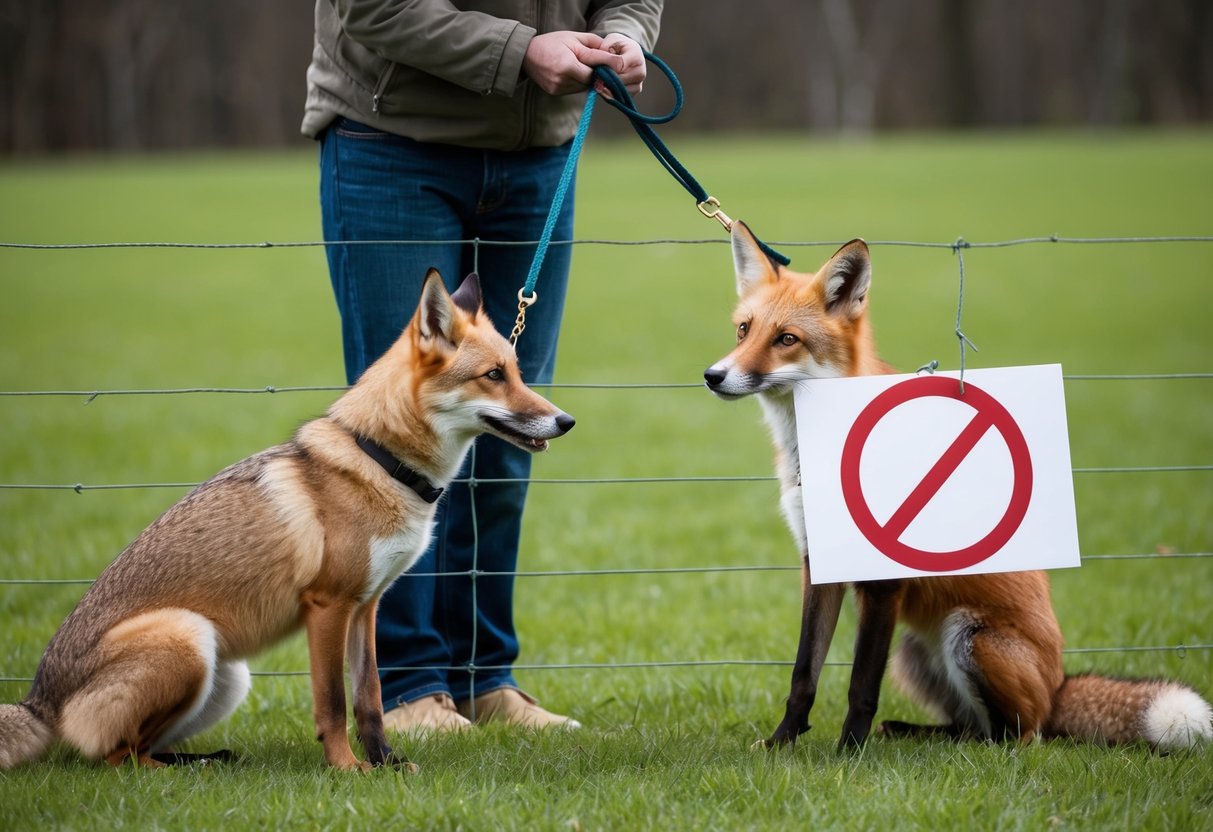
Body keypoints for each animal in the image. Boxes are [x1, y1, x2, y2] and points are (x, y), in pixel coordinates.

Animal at [0, 271, 574, 771]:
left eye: (518, 371)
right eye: (493, 376)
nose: (566, 421)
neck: (381, 460)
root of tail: (39, 700)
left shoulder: (366, 608)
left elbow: (370, 700)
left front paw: (388, 766)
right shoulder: (327, 607)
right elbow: (333, 705)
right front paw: (347, 770)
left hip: (226, 677)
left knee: (141, 747)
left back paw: (208, 761)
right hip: (189, 640)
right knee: (119, 757)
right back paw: (190, 772)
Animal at [704, 221, 1212, 752]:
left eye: (787, 339)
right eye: (744, 329)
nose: (713, 376)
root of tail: (1057, 687)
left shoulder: (885, 581)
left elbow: (861, 685)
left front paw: (848, 755)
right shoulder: (818, 565)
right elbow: (804, 673)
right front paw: (781, 744)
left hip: (967, 637)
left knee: (1013, 737)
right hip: (912, 650)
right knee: (968, 725)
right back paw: (910, 733)